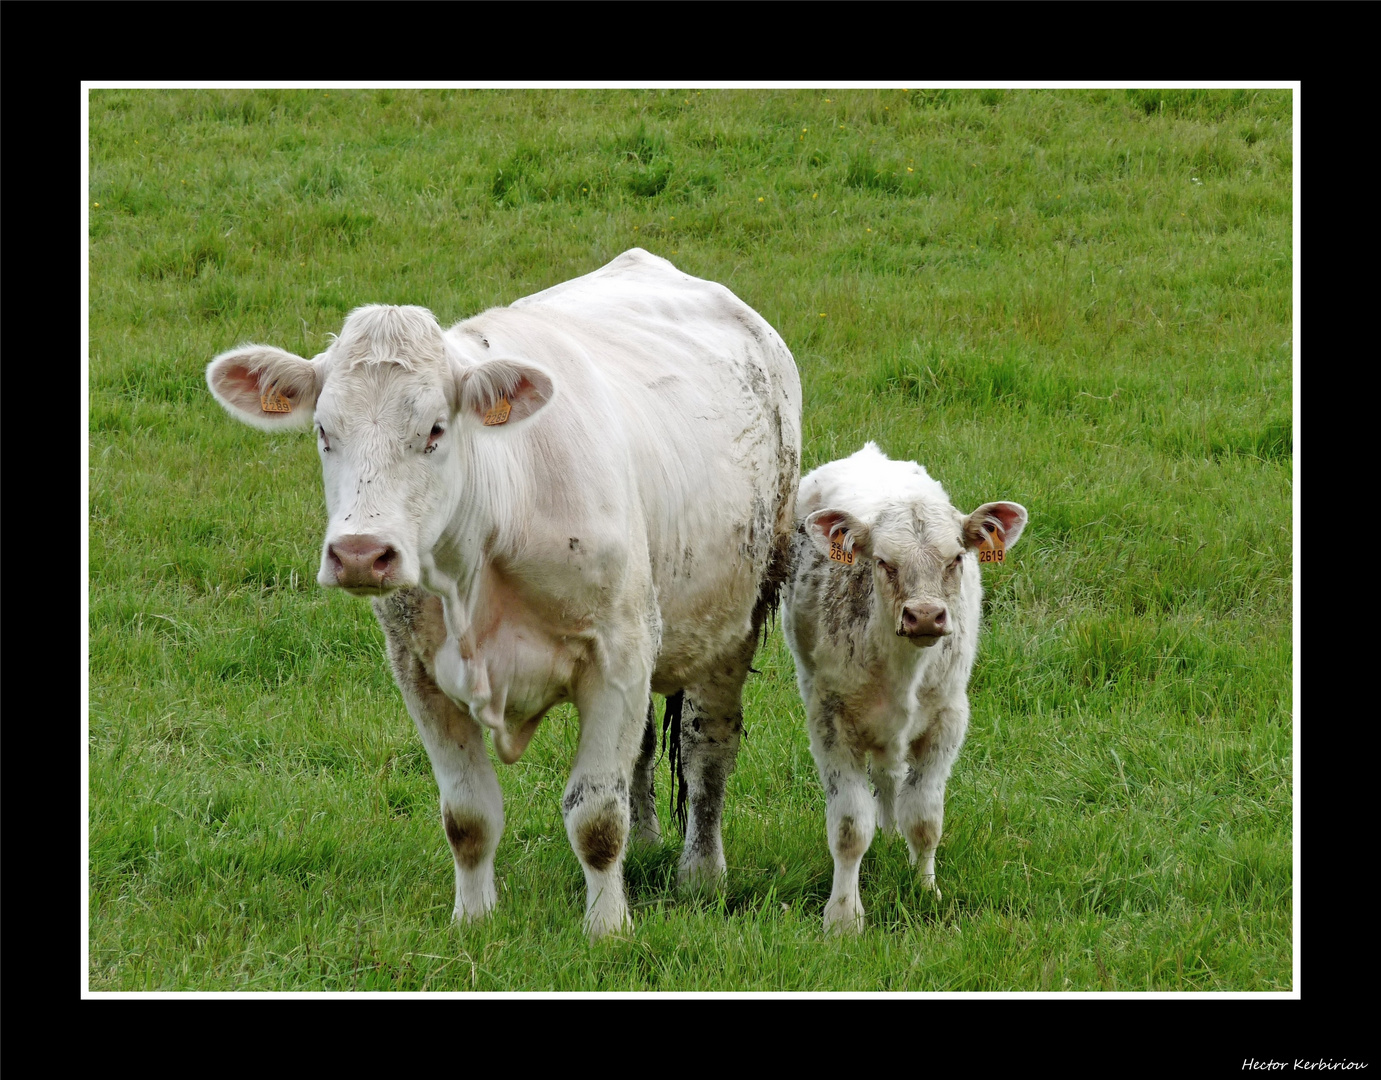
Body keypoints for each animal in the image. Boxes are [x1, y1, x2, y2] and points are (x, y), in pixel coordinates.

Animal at [209, 251, 806, 939]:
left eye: (435, 430)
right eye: (324, 432)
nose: (360, 552)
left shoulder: (618, 653)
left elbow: (597, 818)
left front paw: (607, 929)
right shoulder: (418, 672)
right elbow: (468, 818)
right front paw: (473, 919)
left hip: (740, 614)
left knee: (708, 750)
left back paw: (700, 873)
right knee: (642, 754)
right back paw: (649, 847)